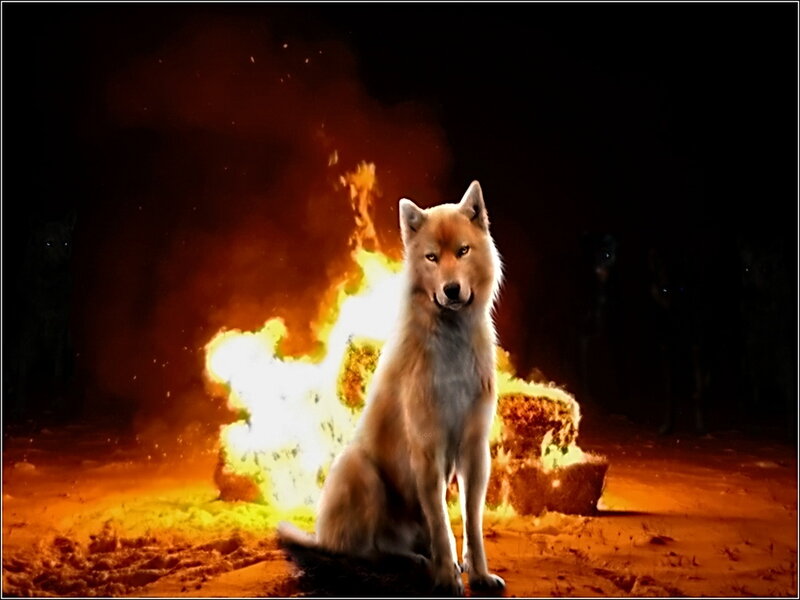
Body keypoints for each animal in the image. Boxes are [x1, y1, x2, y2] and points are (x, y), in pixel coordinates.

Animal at [278, 181, 505, 596]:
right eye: (432, 257)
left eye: (463, 251)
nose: (451, 290)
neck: (452, 344)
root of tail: (321, 536)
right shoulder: (427, 451)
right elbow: (442, 524)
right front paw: (446, 579)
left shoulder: (474, 450)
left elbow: (471, 523)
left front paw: (478, 574)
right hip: (360, 471)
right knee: (365, 552)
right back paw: (417, 563)